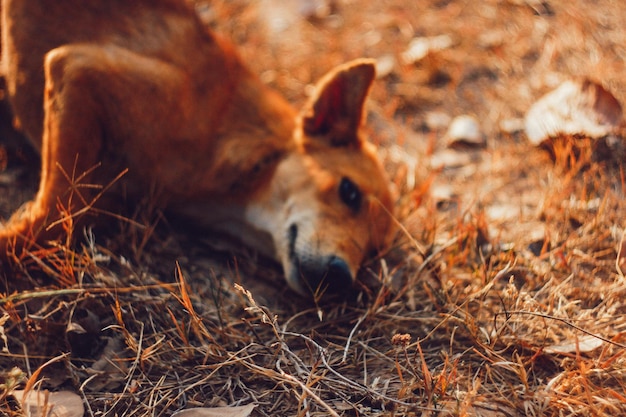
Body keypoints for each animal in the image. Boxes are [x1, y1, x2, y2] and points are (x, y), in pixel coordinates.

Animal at [0, 0, 392, 296]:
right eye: (349, 192)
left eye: (373, 252)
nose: (341, 279)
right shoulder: (78, 68)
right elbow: (57, 214)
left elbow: (66, 216)